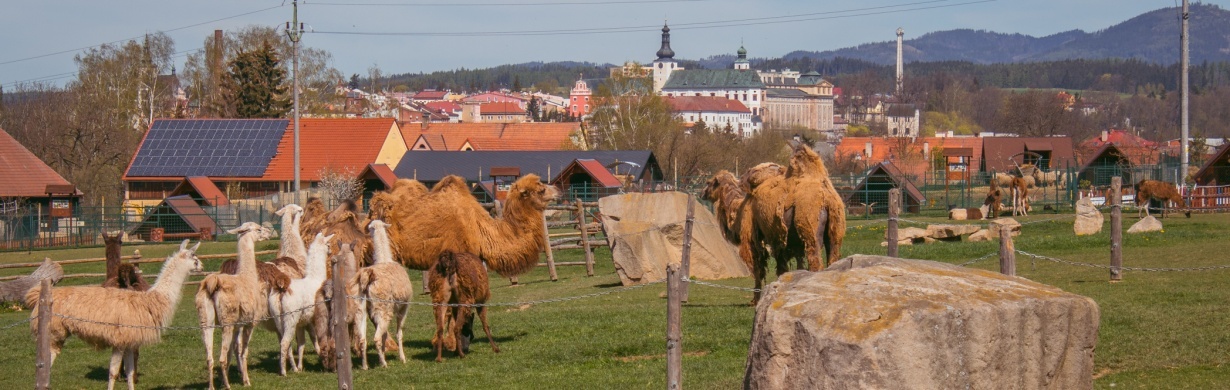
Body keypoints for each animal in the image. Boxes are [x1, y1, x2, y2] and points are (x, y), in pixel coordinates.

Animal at [26, 238, 201, 388]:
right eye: (195, 258)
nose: (202, 267)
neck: (152, 300)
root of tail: (38, 297)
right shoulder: (120, 339)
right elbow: (113, 372)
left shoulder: (130, 341)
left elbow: (129, 372)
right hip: (54, 332)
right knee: (45, 363)